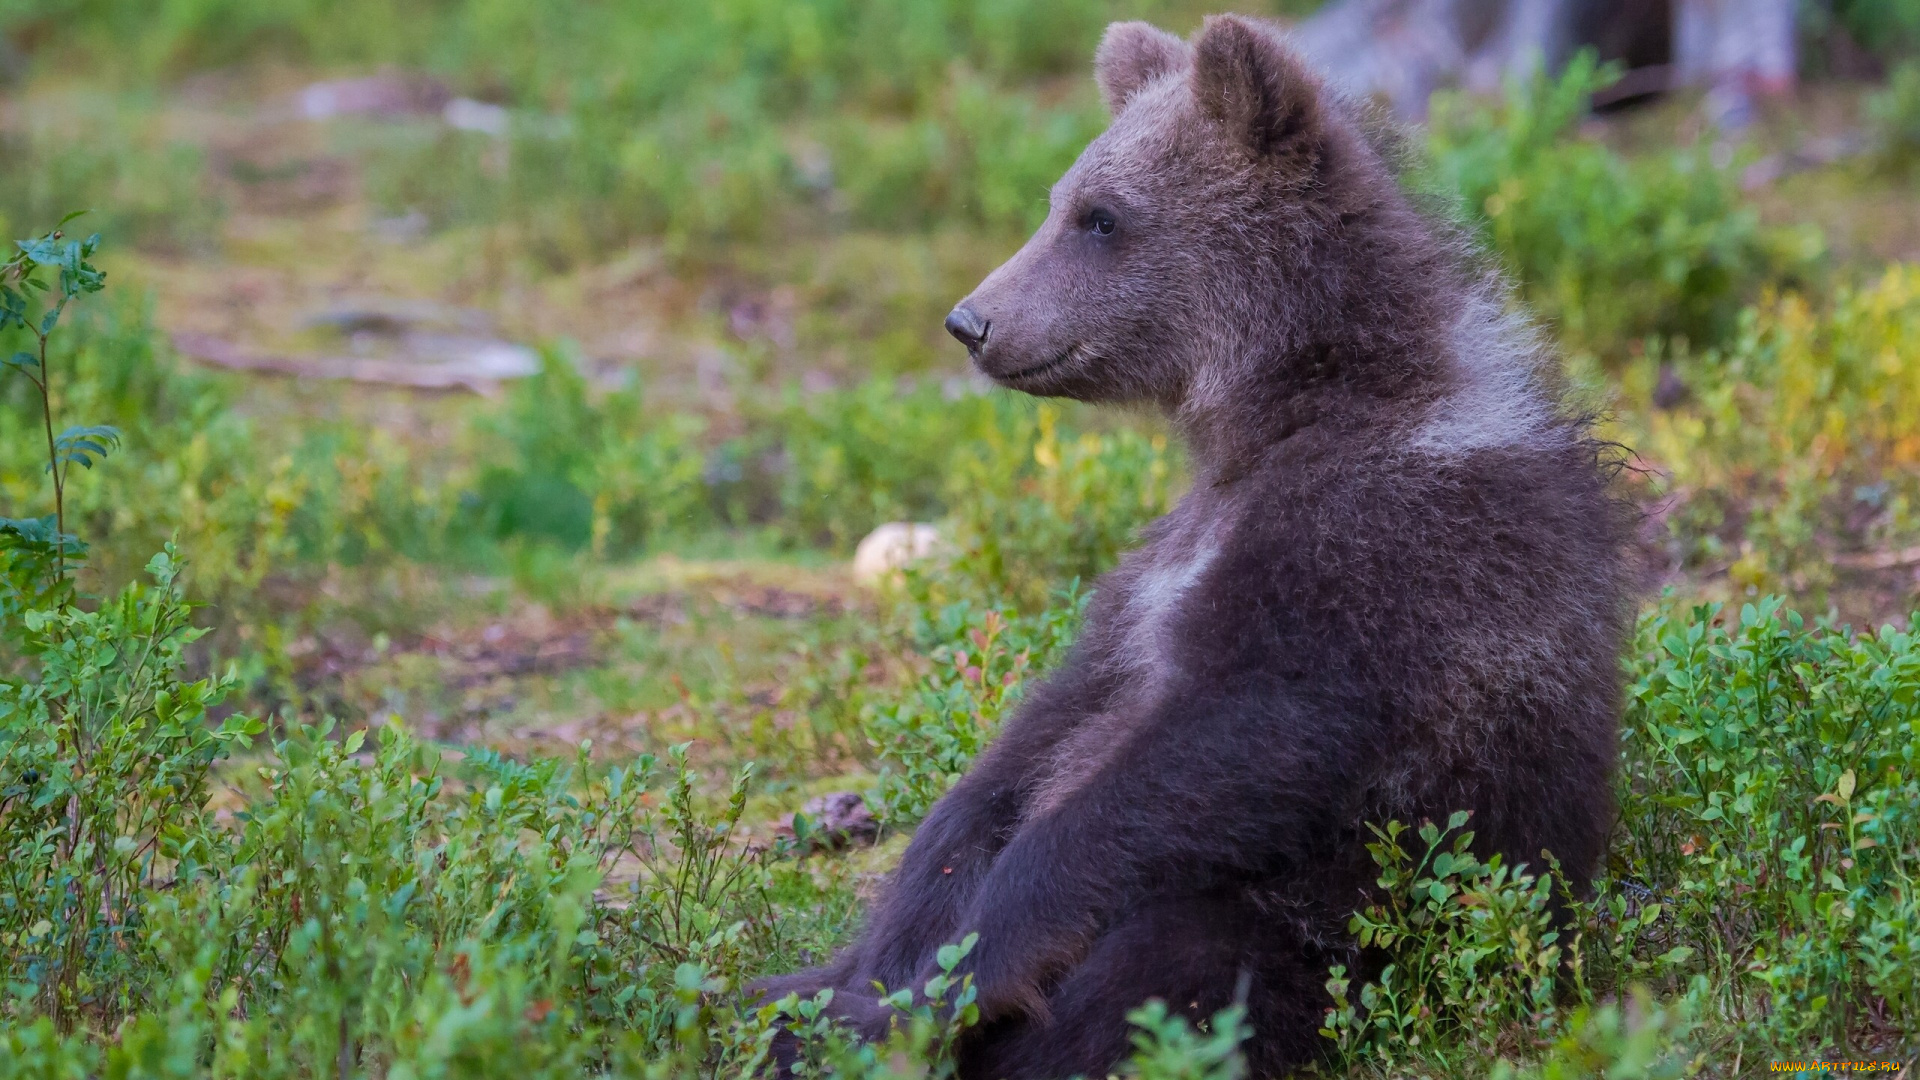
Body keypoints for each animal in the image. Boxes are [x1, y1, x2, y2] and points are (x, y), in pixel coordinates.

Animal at [756, 12, 1628, 1068]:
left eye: (1101, 217)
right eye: (1059, 199)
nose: (973, 320)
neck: (1289, 408)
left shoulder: (1387, 550)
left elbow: (1236, 736)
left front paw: (948, 982)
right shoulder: (1157, 570)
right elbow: (1026, 748)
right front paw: (886, 965)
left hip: (1342, 926)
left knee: (1164, 973)